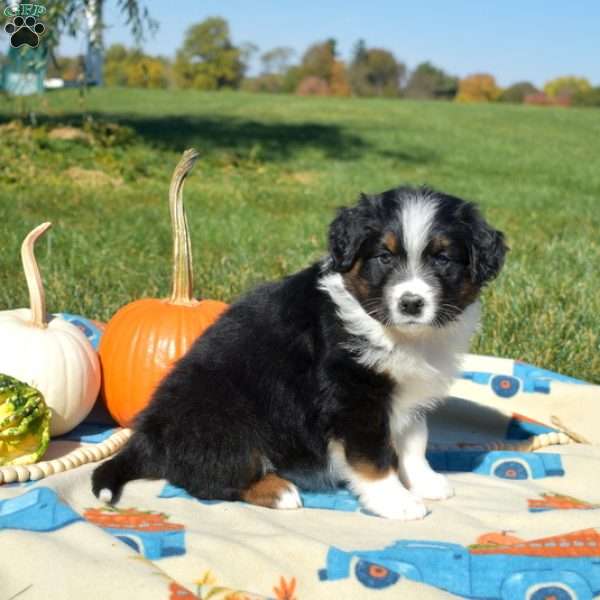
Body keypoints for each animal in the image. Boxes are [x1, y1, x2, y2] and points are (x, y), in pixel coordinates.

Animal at [92, 186, 506, 520]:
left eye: (442, 259)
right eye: (384, 257)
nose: (411, 303)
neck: (398, 334)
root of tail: (148, 434)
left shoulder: (408, 394)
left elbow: (414, 442)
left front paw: (425, 481)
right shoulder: (353, 399)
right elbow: (372, 457)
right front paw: (396, 501)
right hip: (226, 417)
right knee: (206, 477)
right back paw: (278, 490)